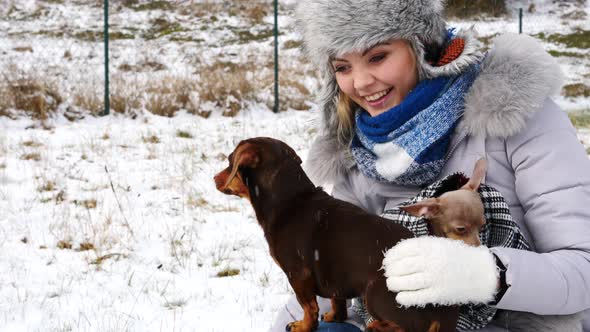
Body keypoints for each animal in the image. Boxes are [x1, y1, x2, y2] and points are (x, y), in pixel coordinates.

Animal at [214, 137, 468, 332]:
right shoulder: (334, 277)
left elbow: (308, 306)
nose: (215, 178)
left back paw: (377, 326)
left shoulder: (298, 275)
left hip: (374, 293)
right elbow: (337, 301)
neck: (290, 200)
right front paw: (335, 317)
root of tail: (445, 307)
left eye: (229, 162)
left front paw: (303, 326)